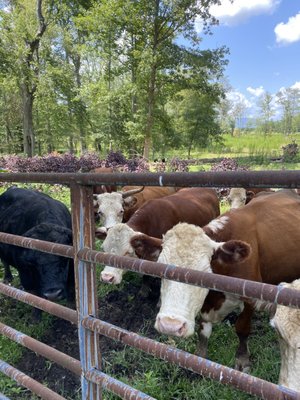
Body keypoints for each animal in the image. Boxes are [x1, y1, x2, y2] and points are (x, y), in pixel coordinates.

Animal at [134, 189, 300, 370]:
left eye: (204, 273)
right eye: (160, 268)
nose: (170, 326)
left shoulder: (251, 297)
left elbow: (242, 328)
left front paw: (242, 359)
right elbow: (203, 330)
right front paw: (200, 358)